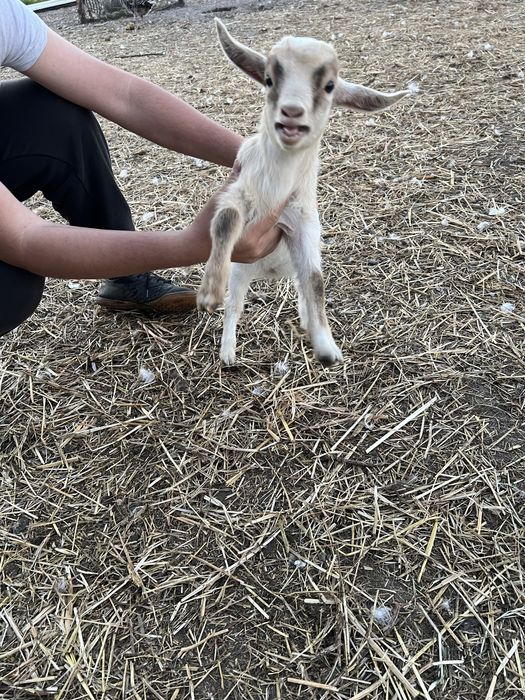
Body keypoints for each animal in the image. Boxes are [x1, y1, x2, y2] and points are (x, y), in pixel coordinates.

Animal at [198, 19, 409, 365]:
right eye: (269, 79)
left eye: (329, 86)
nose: (292, 112)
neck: (278, 184)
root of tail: (269, 272)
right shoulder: (241, 194)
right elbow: (225, 220)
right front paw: (208, 292)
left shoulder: (302, 225)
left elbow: (315, 282)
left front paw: (326, 346)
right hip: (242, 269)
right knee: (235, 305)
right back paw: (228, 352)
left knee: (300, 287)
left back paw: (306, 320)